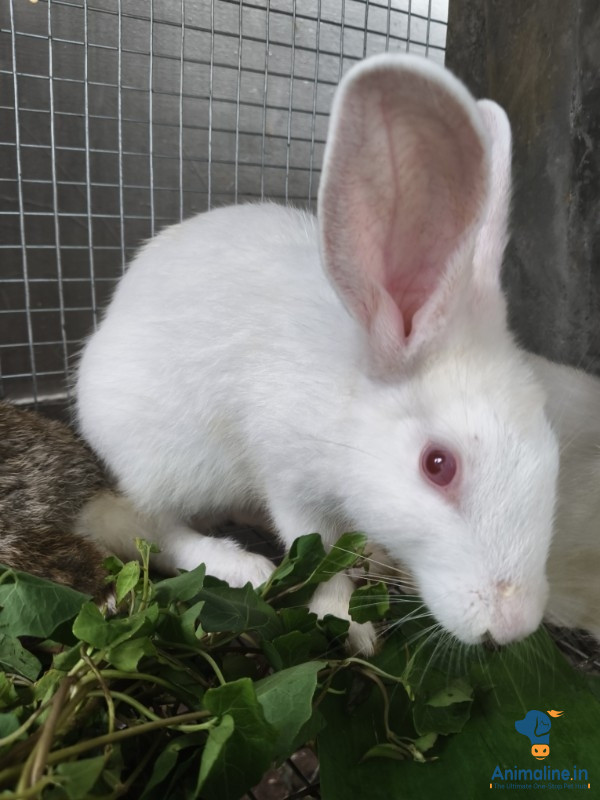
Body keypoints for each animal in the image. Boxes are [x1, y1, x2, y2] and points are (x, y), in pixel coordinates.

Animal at [76, 53, 561, 655]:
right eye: (438, 465)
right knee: (152, 527)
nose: (513, 624)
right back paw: (238, 564)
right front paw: (348, 622)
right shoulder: (290, 481)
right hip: (161, 459)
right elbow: (321, 555)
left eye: (551, 443)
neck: (349, 397)